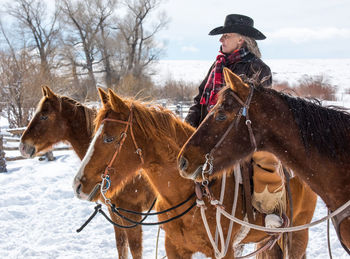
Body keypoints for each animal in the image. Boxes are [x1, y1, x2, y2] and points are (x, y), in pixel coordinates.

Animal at [19, 87, 154, 259]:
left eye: (44, 116)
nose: (22, 146)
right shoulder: (114, 213)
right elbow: (121, 245)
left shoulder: (131, 215)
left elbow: (135, 249)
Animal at [72, 89, 316, 259]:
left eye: (109, 138)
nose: (78, 185)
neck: (190, 193)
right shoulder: (175, 248)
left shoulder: (223, 251)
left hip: (298, 233)